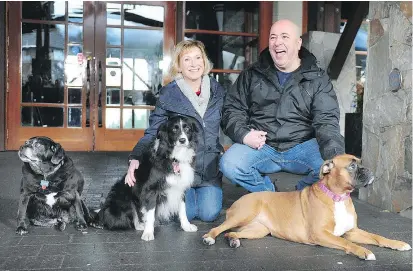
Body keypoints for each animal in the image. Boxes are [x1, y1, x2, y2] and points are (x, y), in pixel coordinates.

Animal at [201, 154, 410, 260]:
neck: (338, 197)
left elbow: (377, 237)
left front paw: (398, 243)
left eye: (360, 163)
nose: (369, 170)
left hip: (258, 230)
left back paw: (233, 240)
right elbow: (348, 243)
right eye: (351, 166)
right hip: (243, 215)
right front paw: (364, 251)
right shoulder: (321, 234)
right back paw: (209, 238)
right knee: (218, 228)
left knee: (231, 232)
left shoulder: (352, 231)